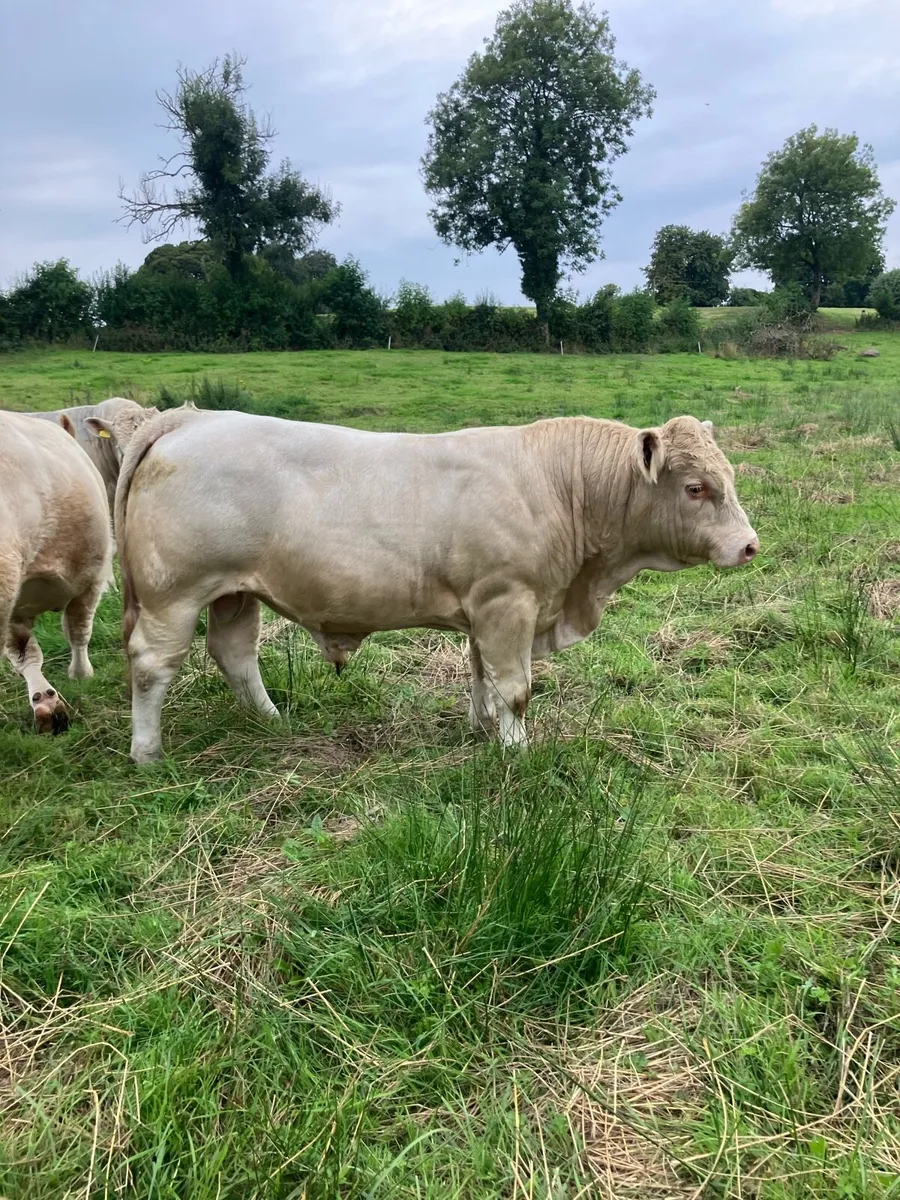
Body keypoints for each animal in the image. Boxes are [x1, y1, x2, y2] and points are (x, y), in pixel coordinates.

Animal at [0, 411, 112, 733]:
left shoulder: (17, 605)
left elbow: (23, 652)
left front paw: (45, 700)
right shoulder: (92, 578)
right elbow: (79, 630)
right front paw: (81, 674)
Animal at [114, 408, 759, 764]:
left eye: (728, 475)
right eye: (696, 487)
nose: (749, 545)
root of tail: (190, 418)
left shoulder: (485, 609)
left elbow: (482, 677)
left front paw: (482, 731)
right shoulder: (509, 601)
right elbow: (515, 687)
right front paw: (517, 753)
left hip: (234, 592)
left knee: (234, 652)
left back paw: (270, 719)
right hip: (174, 594)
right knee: (151, 665)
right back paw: (148, 753)